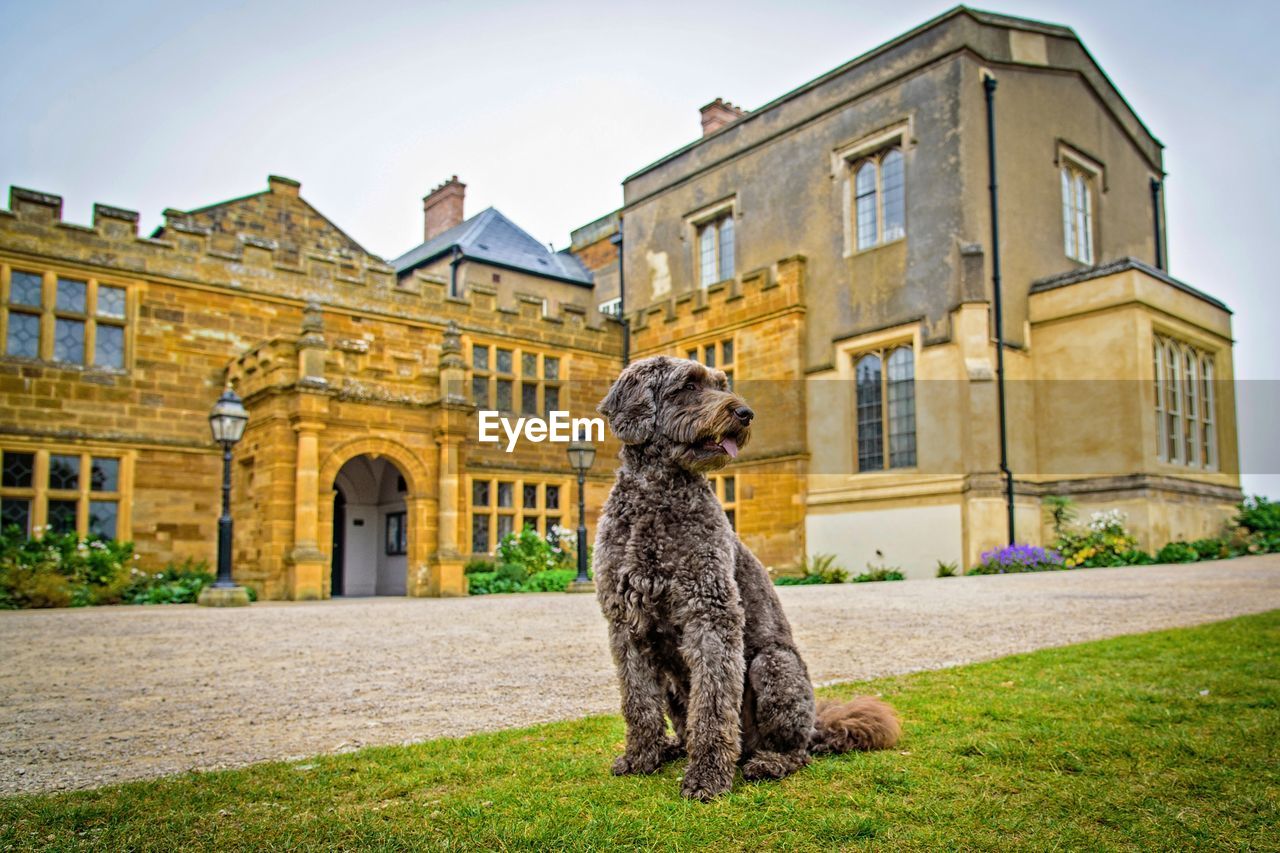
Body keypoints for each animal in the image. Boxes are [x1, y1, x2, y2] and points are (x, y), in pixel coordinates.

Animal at [591, 350, 901, 799]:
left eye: (722, 384)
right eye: (688, 385)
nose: (745, 413)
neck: (657, 496)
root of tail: (816, 726)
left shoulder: (710, 613)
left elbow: (714, 704)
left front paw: (706, 777)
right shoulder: (626, 623)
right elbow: (638, 701)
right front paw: (641, 758)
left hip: (774, 666)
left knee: (796, 750)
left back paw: (767, 762)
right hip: (676, 680)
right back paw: (672, 748)